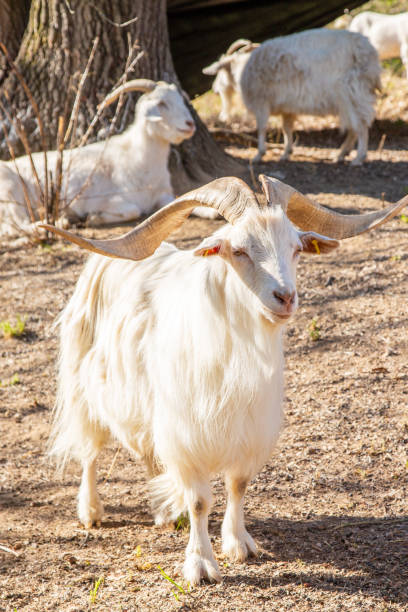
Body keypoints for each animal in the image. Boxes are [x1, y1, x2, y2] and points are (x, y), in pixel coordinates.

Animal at [0, 79, 196, 237]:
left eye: (181, 100)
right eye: (162, 103)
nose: (190, 124)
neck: (136, 159)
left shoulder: (164, 195)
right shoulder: (107, 200)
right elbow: (133, 211)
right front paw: (93, 217)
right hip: (10, 192)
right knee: (15, 227)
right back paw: (57, 223)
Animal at [42, 176, 408, 584]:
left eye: (296, 248)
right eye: (239, 250)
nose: (285, 297)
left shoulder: (248, 429)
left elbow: (238, 484)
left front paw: (238, 543)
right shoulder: (186, 433)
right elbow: (200, 500)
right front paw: (201, 565)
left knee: (148, 453)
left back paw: (163, 512)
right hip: (84, 385)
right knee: (90, 450)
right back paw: (91, 511)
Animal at [206, 29, 380, 165]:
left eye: (220, 72)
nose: (214, 90)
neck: (242, 68)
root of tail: (368, 53)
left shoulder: (261, 101)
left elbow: (261, 127)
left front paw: (259, 154)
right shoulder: (287, 108)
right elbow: (286, 128)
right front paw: (286, 153)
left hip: (352, 92)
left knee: (361, 126)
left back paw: (358, 157)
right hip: (350, 98)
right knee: (354, 127)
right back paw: (341, 154)